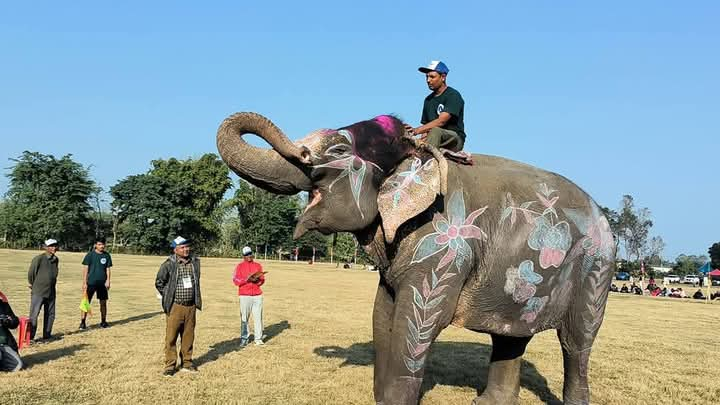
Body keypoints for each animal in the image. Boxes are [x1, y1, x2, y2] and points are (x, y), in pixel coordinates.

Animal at [217, 111, 616, 404]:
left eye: (338, 151)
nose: (301, 153)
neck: (415, 154)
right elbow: (383, 315)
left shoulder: (446, 245)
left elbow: (418, 320)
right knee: (510, 337)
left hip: (595, 268)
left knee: (576, 343)